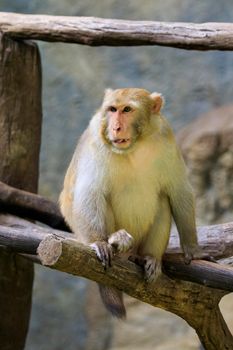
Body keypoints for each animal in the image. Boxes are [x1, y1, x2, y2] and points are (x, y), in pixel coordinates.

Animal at [59, 88, 208, 320]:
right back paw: (116, 241)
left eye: (127, 109)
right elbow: (88, 193)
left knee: (163, 200)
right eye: (112, 109)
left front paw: (193, 249)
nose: (115, 127)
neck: (135, 145)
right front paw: (99, 242)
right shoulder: (95, 139)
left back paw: (148, 257)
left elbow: (179, 190)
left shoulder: (166, 136)